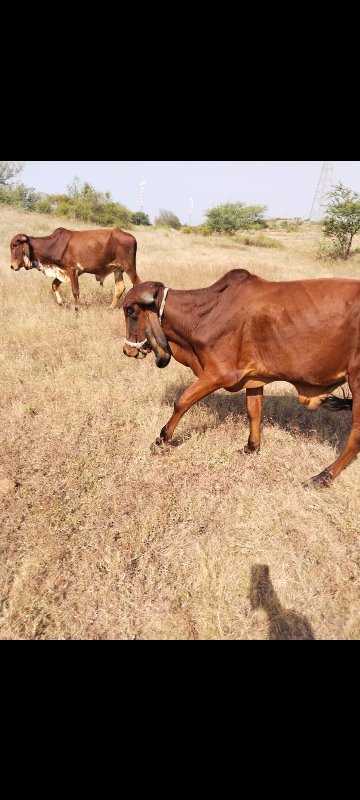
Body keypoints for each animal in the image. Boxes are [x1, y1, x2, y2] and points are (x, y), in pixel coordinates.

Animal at [11, 228, 141, 312]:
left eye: (15, 245)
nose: (12, 266)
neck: (54, 245)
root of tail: (131, 237)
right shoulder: (62, 272)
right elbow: (54, 285)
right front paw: (61, 302)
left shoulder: (73, 271)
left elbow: (75, 291)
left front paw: (77, 309)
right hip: (117, 269)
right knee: (119, 288)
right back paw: (110, 308)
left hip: (129, 267)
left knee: (137, 284)